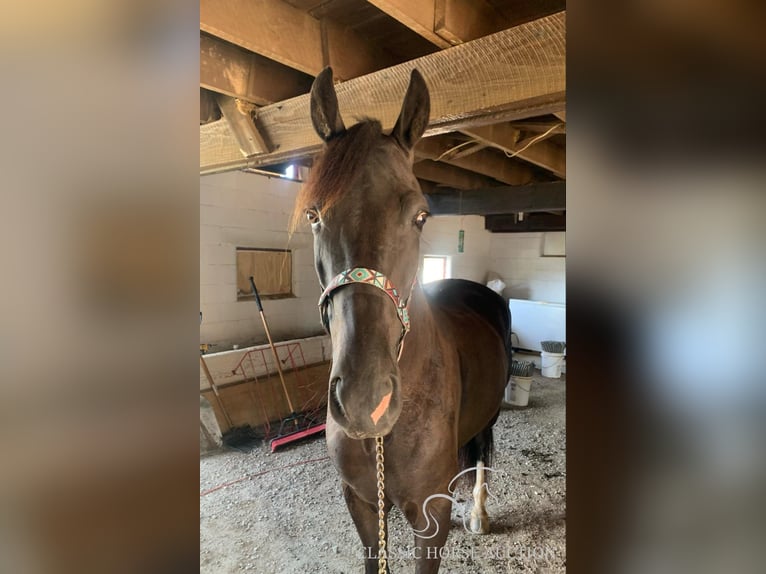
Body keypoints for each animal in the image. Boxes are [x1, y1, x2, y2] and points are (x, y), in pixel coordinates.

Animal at [296, 65, 516, 572]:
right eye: (314, 215)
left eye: (421, 216)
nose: (365, 402)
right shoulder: (361, 503)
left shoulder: (429, 520)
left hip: (491, 414)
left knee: (481, 452)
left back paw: (477, 512)